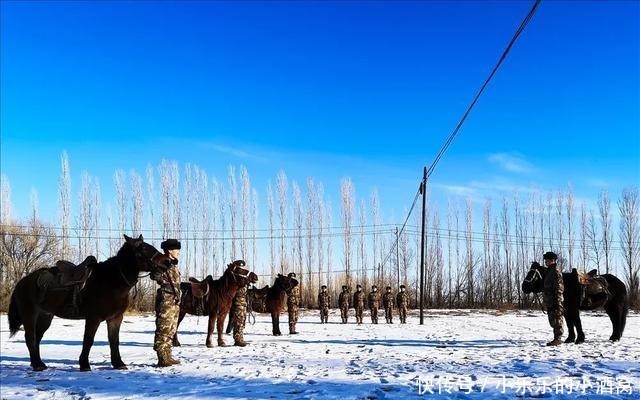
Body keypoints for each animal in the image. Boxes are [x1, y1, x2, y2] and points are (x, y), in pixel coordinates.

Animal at [7, 235, 172, 371]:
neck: (111, 281)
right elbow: (88, 340)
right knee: (30, 338)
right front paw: (84, 365)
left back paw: (39, 363)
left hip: (45, 316)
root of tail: (22, 282)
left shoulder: (115, 318)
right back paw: (37, 365)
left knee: (37, 338)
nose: (168, 261)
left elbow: (114, 340)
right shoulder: (94, 318)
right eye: (144, 248)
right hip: (30, 314)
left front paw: (118, 363)